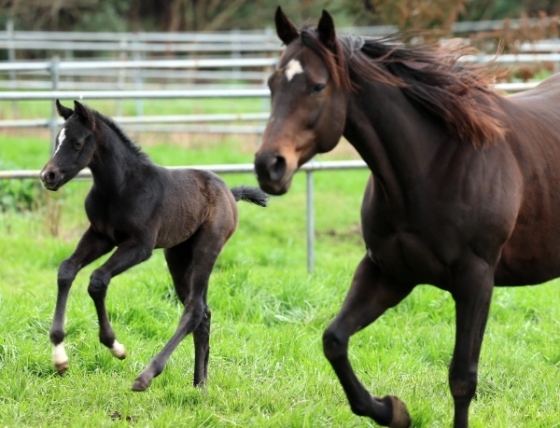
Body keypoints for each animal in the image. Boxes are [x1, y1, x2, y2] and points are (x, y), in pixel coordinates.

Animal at [255, 7, 560, 428]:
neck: (431, 165)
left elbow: (462, 378)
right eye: (271, 84)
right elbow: (334, 340)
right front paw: (392, 410)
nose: (268, 166)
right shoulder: (388, 272)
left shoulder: (476, 280)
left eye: (317, 86)